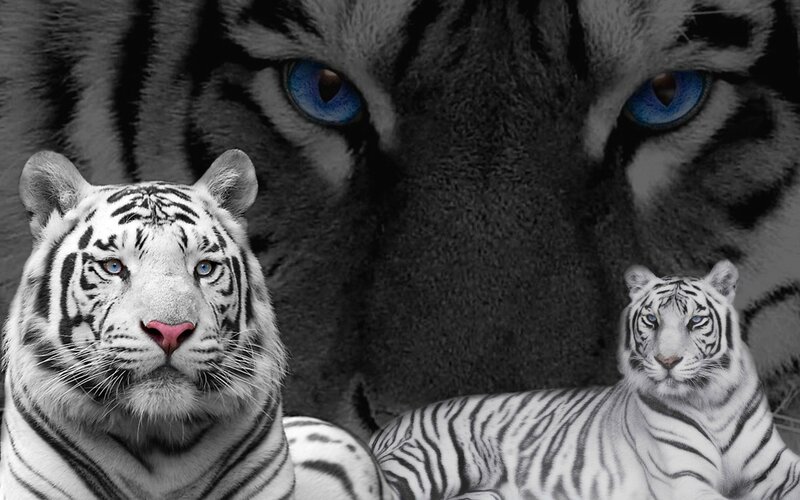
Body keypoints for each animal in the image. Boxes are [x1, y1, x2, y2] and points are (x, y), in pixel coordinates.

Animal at [369, 261, 800, 500]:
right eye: (651, 320)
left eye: (695, 321)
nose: (667, 361)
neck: (711, 401)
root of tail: (391, 425)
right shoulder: (684, 480)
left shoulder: (775, 466)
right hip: (428, 461)